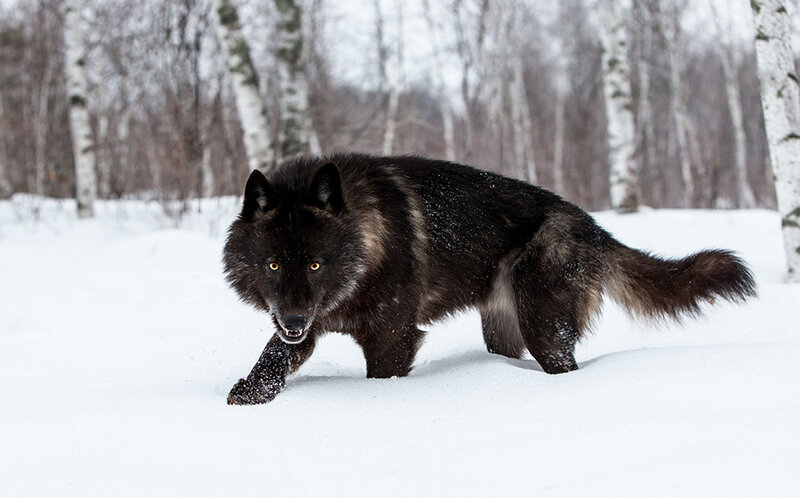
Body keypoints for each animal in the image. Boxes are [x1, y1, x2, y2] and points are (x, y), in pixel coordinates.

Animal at [222, 153, 755, 405]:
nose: (294, 320)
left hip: (544, 330)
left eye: (316, 264)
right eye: (273, 265)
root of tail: (592, 225)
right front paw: (246, 397)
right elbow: (271, 359)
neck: (367, 240)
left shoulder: (393, 339)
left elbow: (381, 378)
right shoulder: (303, 327)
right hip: (502, 331)